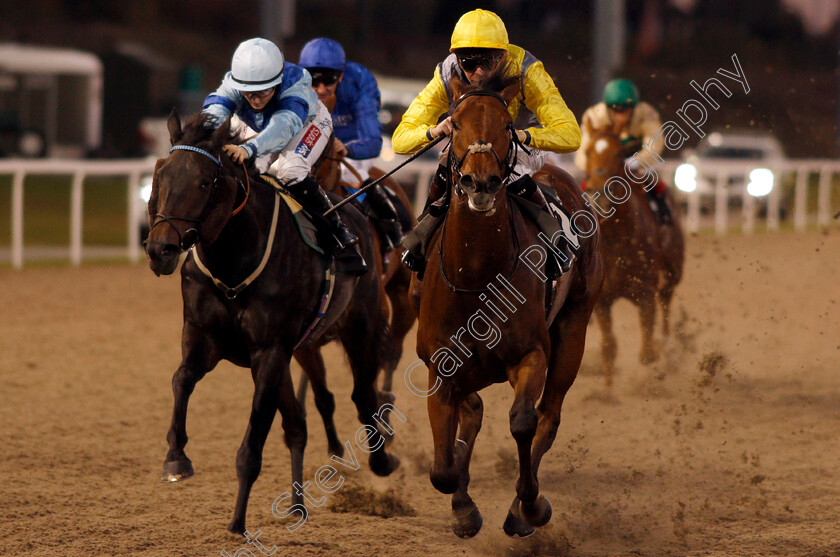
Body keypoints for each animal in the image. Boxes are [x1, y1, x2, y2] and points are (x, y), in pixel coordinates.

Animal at [144, 109, 400, 536]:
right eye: (160, 176)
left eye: (204, 182)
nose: (159, 250)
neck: (234, 263)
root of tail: (355, 212)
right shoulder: (204, 337)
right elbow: (181, 380)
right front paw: (176, 458)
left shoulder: (269, 352)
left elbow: (252, 444)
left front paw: (237, 521)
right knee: (297, 424)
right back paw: (297, 505)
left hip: (360, 328)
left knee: (364, 397)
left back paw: (382, 461)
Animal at [412, 76, 604, 536]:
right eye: (455, 124)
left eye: (505, 124)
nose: (480, 182)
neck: (477, 277)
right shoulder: (439, 366)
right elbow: (442, 469)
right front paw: (464, 508)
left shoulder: (531, 353)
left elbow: (523, 421)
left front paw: (529, 506)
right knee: (474, 413)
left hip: (574, 326)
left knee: (548, 415)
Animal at [584, 128, 684, 384]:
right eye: (587, 151)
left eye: (620, 153)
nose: (598, 193)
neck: (615, 240)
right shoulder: (602, 301)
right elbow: (608, 347)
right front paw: (608, 389)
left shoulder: (645, 293)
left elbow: (647, 353)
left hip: (672, 275)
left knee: (666, 305)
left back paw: (669, 350)